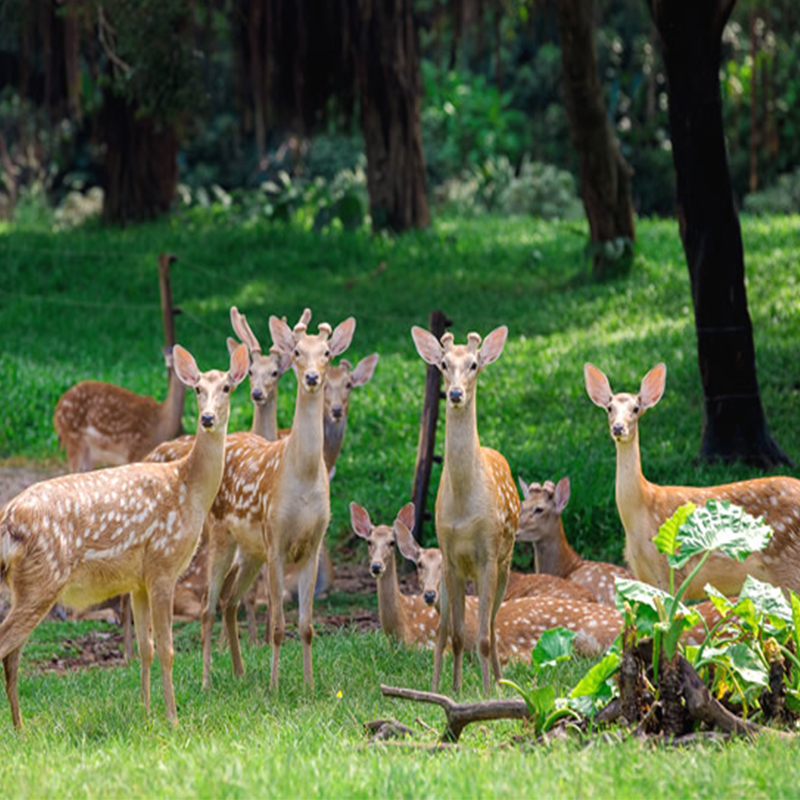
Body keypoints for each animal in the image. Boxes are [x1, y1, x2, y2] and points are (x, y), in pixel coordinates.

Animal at [412, 324, 520, 692]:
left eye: (474, 364)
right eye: (444, 364)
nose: (456, 393)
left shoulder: (488, 553)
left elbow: (483, 636)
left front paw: (486, 693)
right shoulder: (449, 558)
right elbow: (457, 635)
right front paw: (455, 690)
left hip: (506, 562)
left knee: (492, 624)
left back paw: (500, 682)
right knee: (457, 628)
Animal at [584, 362, 800, 600]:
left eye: (635, 408)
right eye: (609, 408)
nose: (618, 428)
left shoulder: (674, 568)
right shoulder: (643, 576)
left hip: (789, 565)